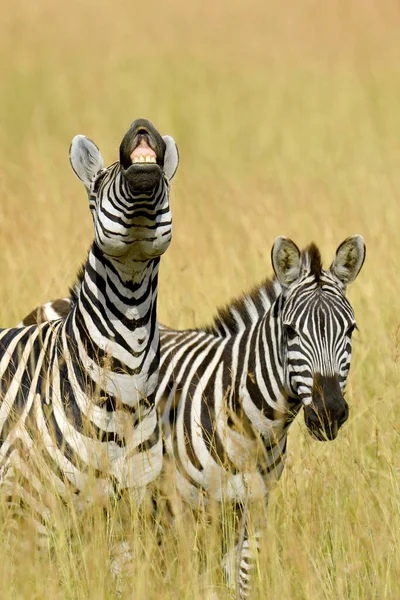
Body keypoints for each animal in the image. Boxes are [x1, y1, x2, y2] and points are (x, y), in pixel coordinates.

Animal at [18, 233, 364, 596]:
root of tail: (55, 303)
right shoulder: (181, 511)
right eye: (290, 332)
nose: (329, 412)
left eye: (350, 330)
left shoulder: (253, 512)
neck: (252, 427)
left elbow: (239, 584)